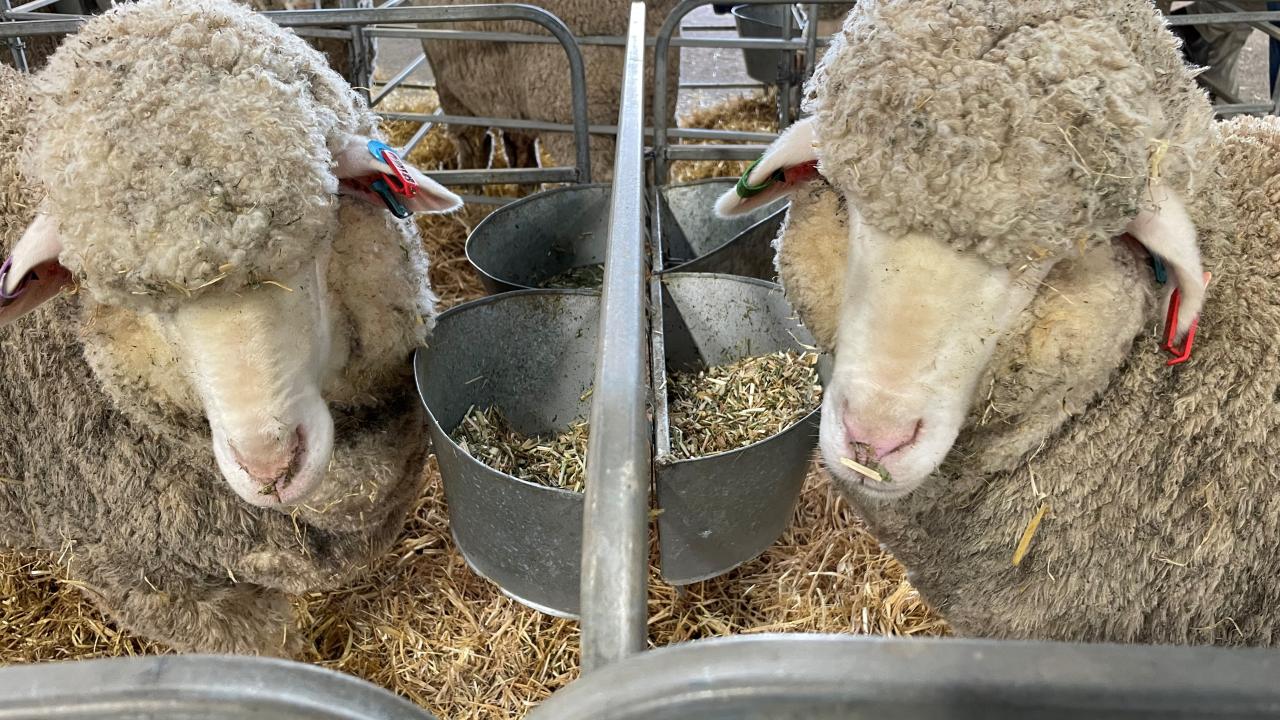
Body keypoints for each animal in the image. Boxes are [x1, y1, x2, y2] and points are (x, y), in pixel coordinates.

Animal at [414, 0, 686, 181]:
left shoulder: (452, 92)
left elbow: (474, 148)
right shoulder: (513, 104)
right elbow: (520, 154)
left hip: (568, 116)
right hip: (656, 107)